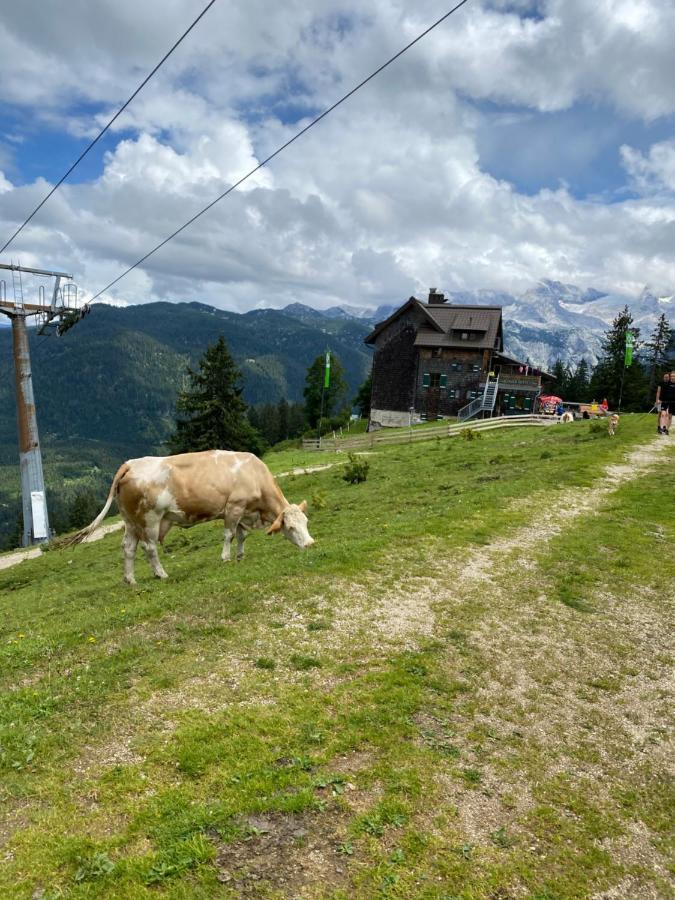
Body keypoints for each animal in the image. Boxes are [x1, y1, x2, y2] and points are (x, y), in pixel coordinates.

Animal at [67, 448, 316, 584]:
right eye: (291, 528)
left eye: (306, 522)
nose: (310, 544)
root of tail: (130, 464)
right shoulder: (233, 507)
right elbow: (229, 535)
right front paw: (226, 558)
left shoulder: (243, 511)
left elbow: (241, 536)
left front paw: (240, 556)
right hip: (149, 519)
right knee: (149, 548)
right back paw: (161, 574)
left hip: (131, 521)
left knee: (128, 548)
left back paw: (130, 580)